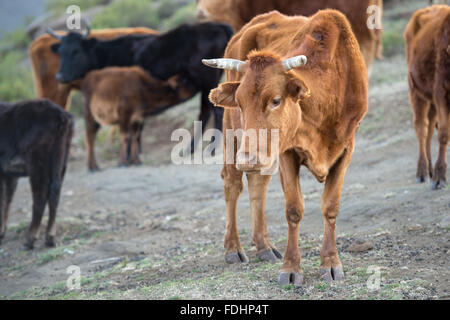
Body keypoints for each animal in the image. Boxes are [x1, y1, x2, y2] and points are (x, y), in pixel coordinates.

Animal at [0, 99, 73, 249]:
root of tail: (61, 116)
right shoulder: (8, 174)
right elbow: (6, 199)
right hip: (62, 159)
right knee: (55, 193)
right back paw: (50, 238)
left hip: (37, 162)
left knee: (40, 196)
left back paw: (30, 239)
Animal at [49, 22, 234, 150]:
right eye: (61, 52)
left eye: (76, 51)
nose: (60, 76)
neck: (108, 54)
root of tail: (218, 25)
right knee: (205, 111)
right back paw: (191, 149)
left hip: (207, 79)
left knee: (216, 110)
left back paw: (212, 148)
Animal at [204, 9, 370, 284]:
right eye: (239, 102)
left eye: (275, 100)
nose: (247, 159)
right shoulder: (286, 153)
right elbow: (294, 209)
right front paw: (291, 269)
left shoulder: (346, 148)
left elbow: (330, 207)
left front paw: (331, 263)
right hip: (233, 134)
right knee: (233, 183)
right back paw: (233, 248)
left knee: (258, 183)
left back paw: (264, 247)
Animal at [404, 5, 450, 189]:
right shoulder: (441, 93)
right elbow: (444, 134)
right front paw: (440, 177)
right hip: (416, 93)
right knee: (422, 130)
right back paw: (422, 172)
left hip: (430, 101)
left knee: (430, 128)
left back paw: (429, 169)